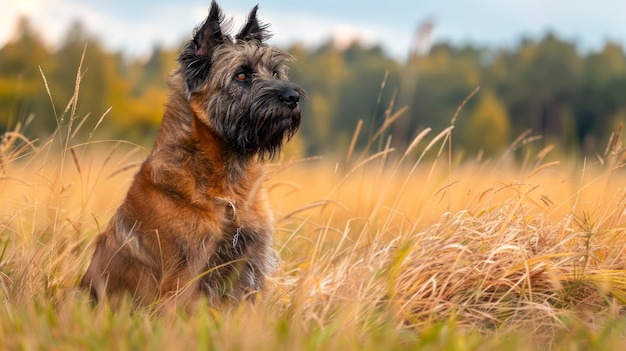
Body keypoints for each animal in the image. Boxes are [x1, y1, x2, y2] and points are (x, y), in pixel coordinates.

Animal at [80, 0, 304, 310]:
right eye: (242, 75)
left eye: (275, 73)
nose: (292, 97)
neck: (228, 189)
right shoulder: (186, 272)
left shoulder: (250, 263)